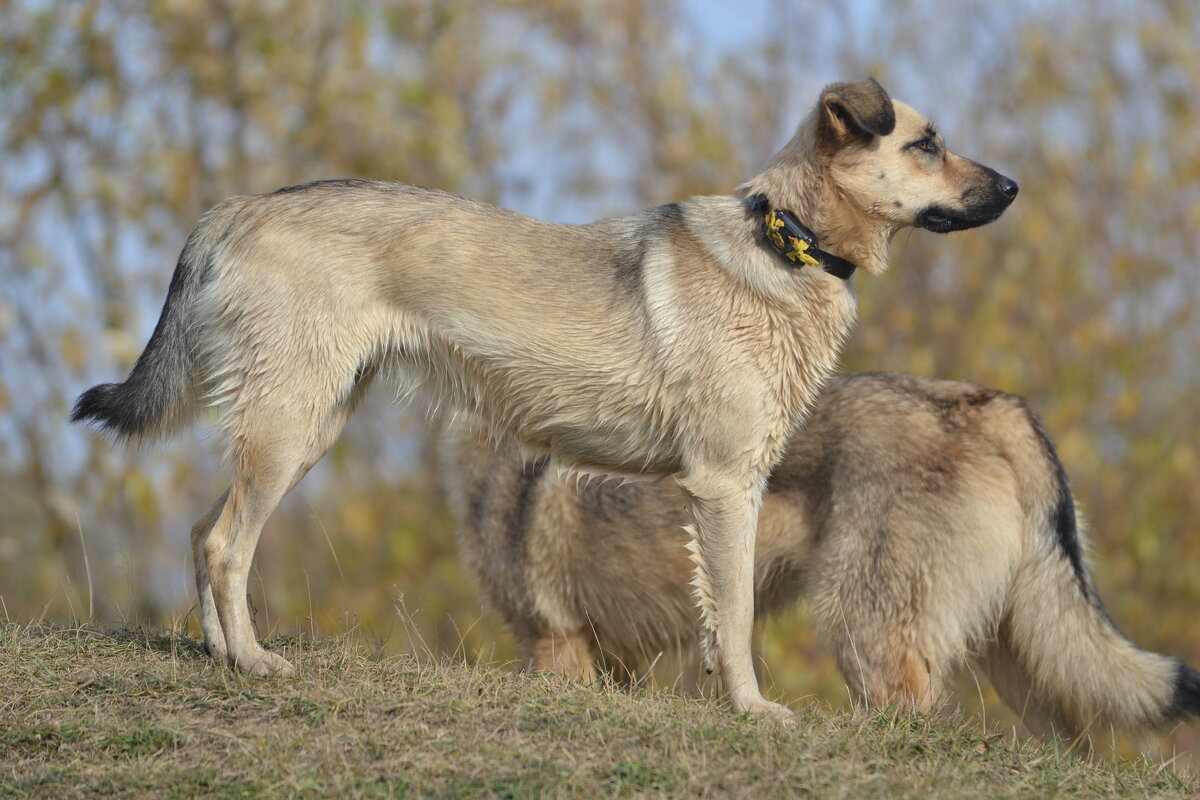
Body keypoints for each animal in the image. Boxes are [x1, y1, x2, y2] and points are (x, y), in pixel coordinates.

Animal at [70, 79, 1017, 719]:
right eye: (926, 144)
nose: (1012, 188)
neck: (787, 242)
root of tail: (234, 209)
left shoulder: (721, 490)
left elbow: (717, 616)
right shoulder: (724, 485)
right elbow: (738, 613)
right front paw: (753, 711)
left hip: (304, 425)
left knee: (204, 532)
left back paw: (220, 656)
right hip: (288, 424)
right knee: (227, 543)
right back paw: (253, 663)